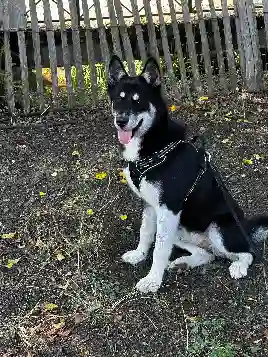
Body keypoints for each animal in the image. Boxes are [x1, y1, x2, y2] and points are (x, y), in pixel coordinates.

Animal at [107, 53, 268, 292]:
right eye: (119, 98)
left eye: (138, 100)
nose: (121, 121)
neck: (154, 146)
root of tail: (246, 228)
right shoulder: (152, 206)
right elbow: (146, 233)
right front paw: (139, 255)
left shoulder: (168, 208)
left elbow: (159, 250)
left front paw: (152, 280)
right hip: (179, 228)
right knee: (208, 254)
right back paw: (184, 262)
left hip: (217, 228)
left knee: (247, 253)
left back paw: (239, 267)